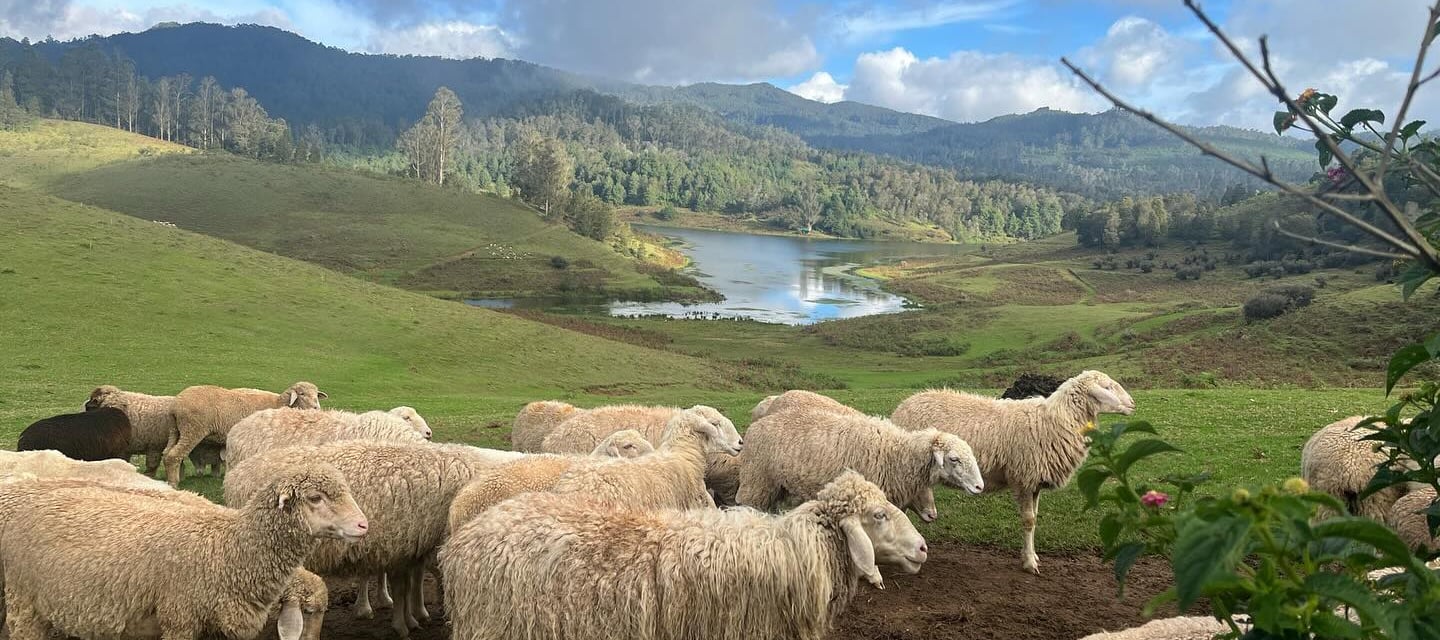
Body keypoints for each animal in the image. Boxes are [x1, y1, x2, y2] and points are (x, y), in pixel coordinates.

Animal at [164, 381, 326, 485]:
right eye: (302, 394)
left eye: (316, 395)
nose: (316, 408)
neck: (279, 403)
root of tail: (176, 406)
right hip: (192, 429)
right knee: (174, 455)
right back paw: (174, 483)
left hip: (175, 430)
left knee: (167, 453)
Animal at [225, 440, 525, 638]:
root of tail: (237, 473)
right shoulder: (404, 544)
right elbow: (404, 586)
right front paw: (404, 625)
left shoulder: (410, 545)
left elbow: (410, 583)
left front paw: (415, 617)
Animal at [738, 409, 983, 522]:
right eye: (954, 459)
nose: (980, 487)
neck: (895, 454)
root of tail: (756, 425)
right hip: (757, 482)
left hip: (776, 487)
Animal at [891, 369, 1136, 574]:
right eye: (1107, 387)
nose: (1133, 404)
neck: (1054, 422)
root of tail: (903, 406)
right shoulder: (1025, 479)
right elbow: (1028, 521)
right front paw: (1029, 563)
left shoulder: (1036, 483)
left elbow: (1034, 519)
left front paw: (1032, 555)